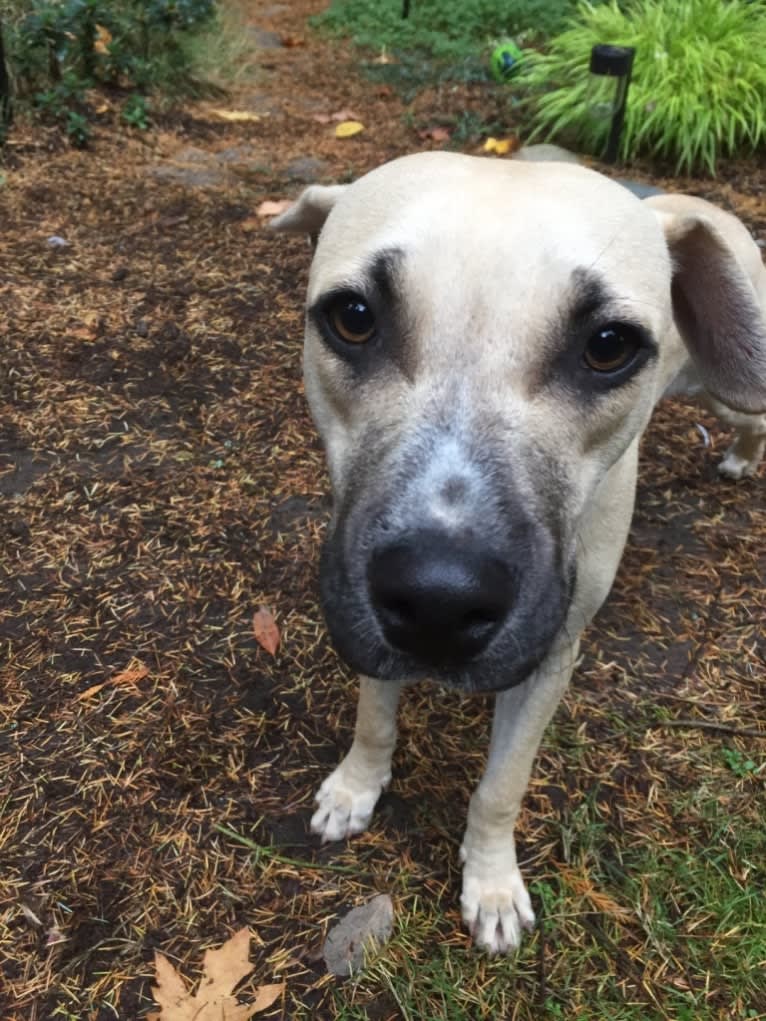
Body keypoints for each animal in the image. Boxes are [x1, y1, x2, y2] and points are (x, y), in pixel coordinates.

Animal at [269, 153, 766, 955]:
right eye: (353, 317)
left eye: (608, 344)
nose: (438, 598)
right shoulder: (362, 606)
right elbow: (374, 714)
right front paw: (356, 785)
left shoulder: (551, 656)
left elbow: (501, 786)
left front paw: (492, 882)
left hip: (731, 385)